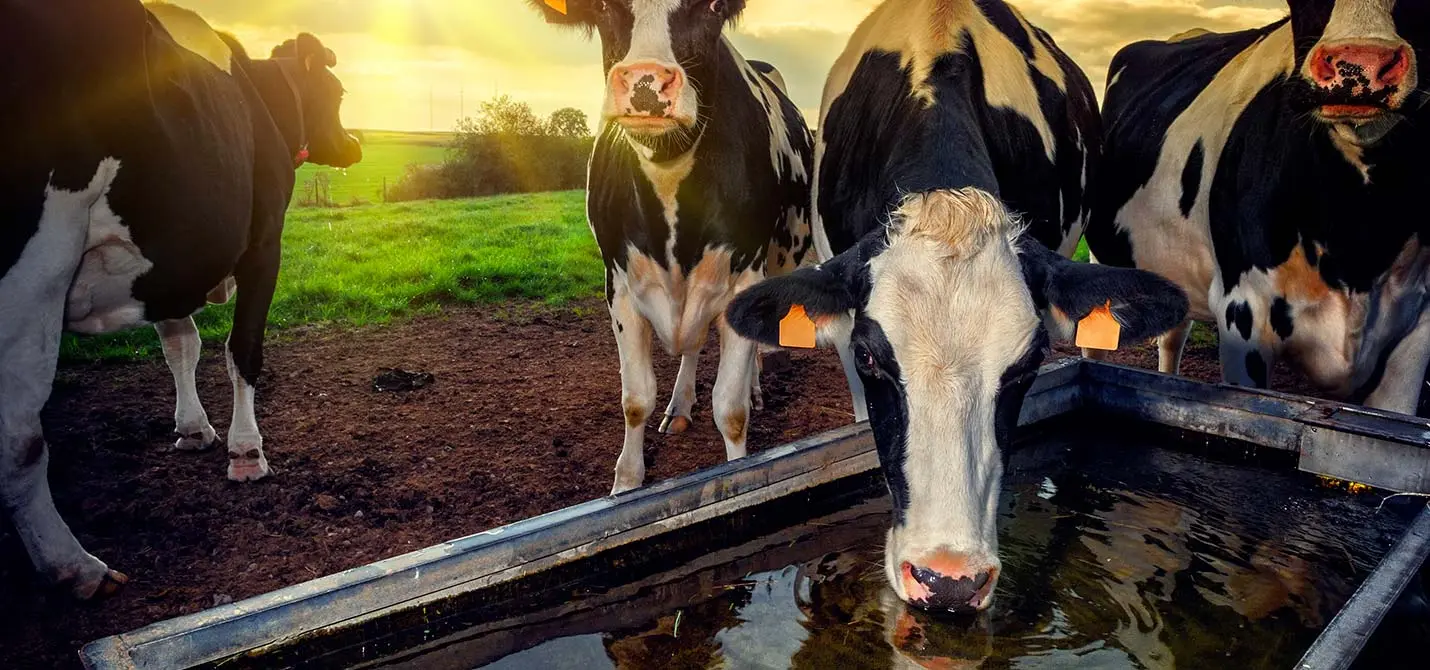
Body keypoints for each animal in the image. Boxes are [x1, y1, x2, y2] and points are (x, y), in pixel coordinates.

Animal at [0, 0, 360, 598]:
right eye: (335, 92)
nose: (355, 144)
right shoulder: (264, 241)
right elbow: (243, 350)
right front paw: (246, 452)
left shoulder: (170, 268)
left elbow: (181, 347)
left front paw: (193, 429)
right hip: (35, 267)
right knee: (20, 438)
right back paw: (77, 567)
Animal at [525, 0, 814, 495]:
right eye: (603, 8)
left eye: (713, 7)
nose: (645, 82)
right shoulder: (619, 284)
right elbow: (636, 398)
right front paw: (626, 484)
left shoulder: (743, 276)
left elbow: (730, 409)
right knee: (692, 346)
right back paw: (680, 405)